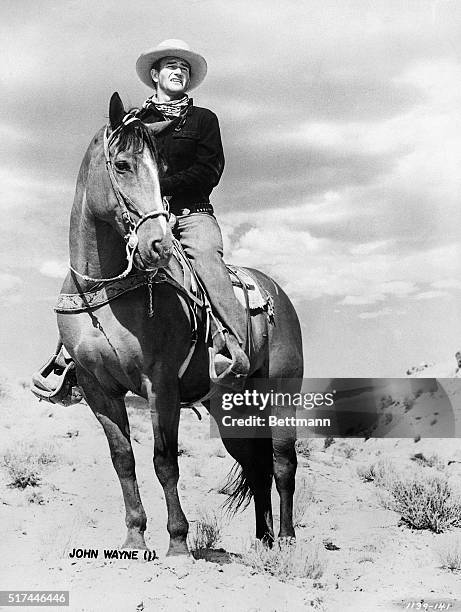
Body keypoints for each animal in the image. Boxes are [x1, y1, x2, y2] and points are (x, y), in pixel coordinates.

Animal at [56, 93, 302, 556]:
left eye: (162, 170)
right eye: (122, 165)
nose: (158, 244)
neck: (106, 293)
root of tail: (276, 292)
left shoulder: (162, 384)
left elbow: (164, 461)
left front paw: (177, 543)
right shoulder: (98, 389)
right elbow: (124, 460)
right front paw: (135, 537)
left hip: (281, 394)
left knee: (282, 464)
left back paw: (287, 540)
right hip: (231, 411)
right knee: (257, 468)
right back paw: (262, 541)